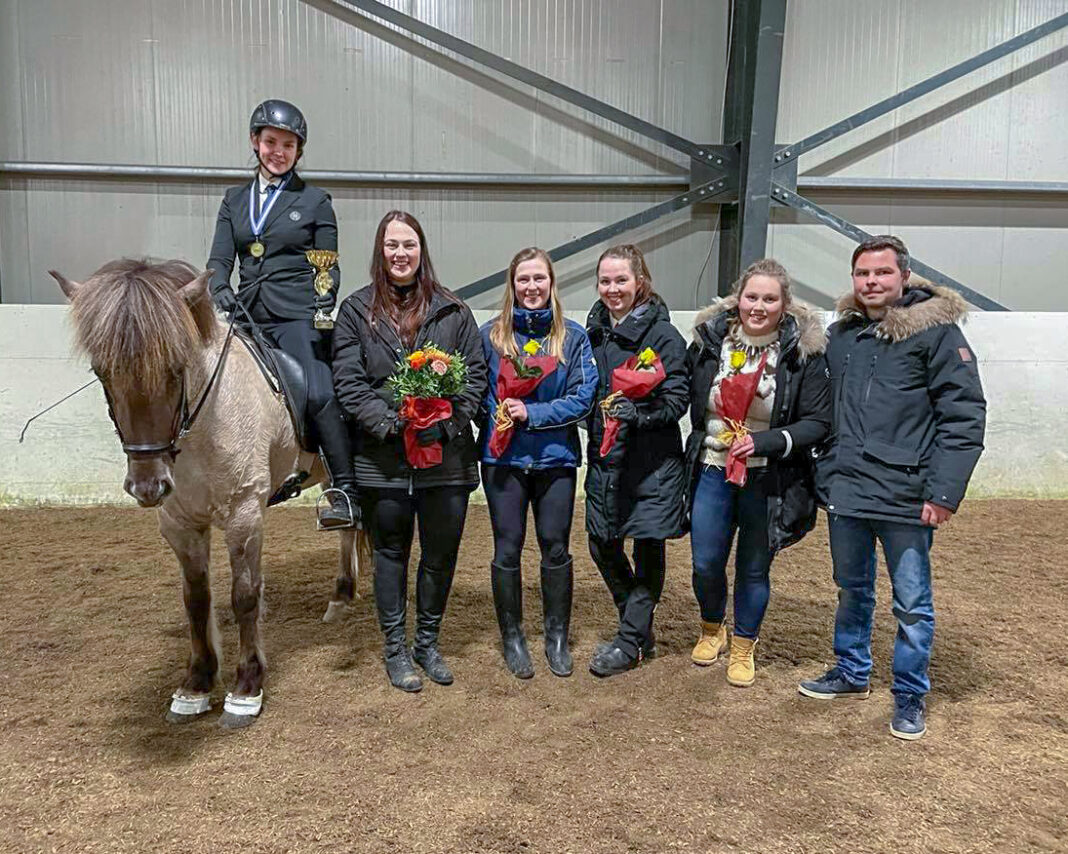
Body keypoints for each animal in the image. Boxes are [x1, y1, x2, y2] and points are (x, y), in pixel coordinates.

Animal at [55, 258, 371, 725]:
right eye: (101, 372)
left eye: (176, 368)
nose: (147, 486)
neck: (205, 424)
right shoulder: (180, 523)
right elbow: (196, 600)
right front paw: (196, 685)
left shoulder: (244, 514)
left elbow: (244, 596)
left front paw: (246, 689)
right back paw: (341, 596)